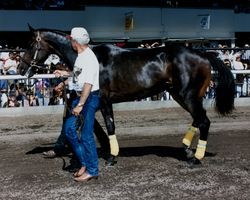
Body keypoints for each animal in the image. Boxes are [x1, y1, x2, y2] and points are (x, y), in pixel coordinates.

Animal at [19, 27, 234, 166]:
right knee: (198, 118)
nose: (21, 68)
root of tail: (203, 55)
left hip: (187, 95)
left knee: (203, 120)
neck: (91, 59)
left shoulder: (104, 99)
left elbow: (110, 125)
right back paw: (187, 149)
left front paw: (111, 156)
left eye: (30, 44)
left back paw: (196, 157)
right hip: (180, 95)